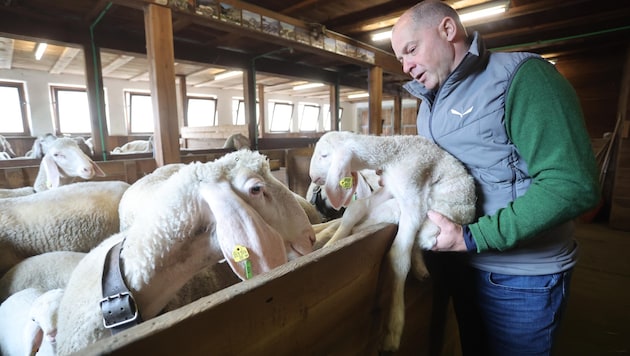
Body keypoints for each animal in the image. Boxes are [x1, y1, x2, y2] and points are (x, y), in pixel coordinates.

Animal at [308, 131, 476, 350]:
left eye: (325, 155)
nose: (312, 177)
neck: (394, 154)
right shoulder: (388, 188)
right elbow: (356, 209)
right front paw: (330, 243)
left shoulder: (413, 195)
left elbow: (398, 256)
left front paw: (393, 328)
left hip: (427, 217)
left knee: (395, 232)